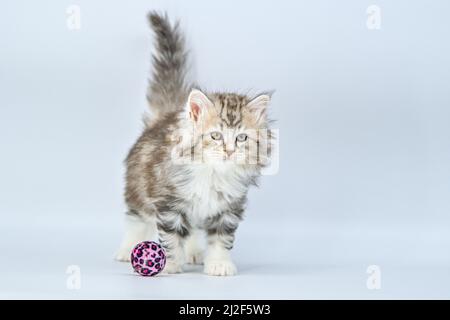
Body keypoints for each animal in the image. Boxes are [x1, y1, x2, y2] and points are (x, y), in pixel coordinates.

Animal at [114, 10, 272, 276]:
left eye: (241, 138)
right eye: (215, 136)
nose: (229, 151)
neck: (212, 174)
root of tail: (163, 117)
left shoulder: (228, 208)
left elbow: (221, 237)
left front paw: (219, 264)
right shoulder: (169, 202)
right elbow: (170, 235)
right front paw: (169, 264)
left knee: (192, 230)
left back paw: (194, 252)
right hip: (137, 187)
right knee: (137, 219)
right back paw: (127, 249)